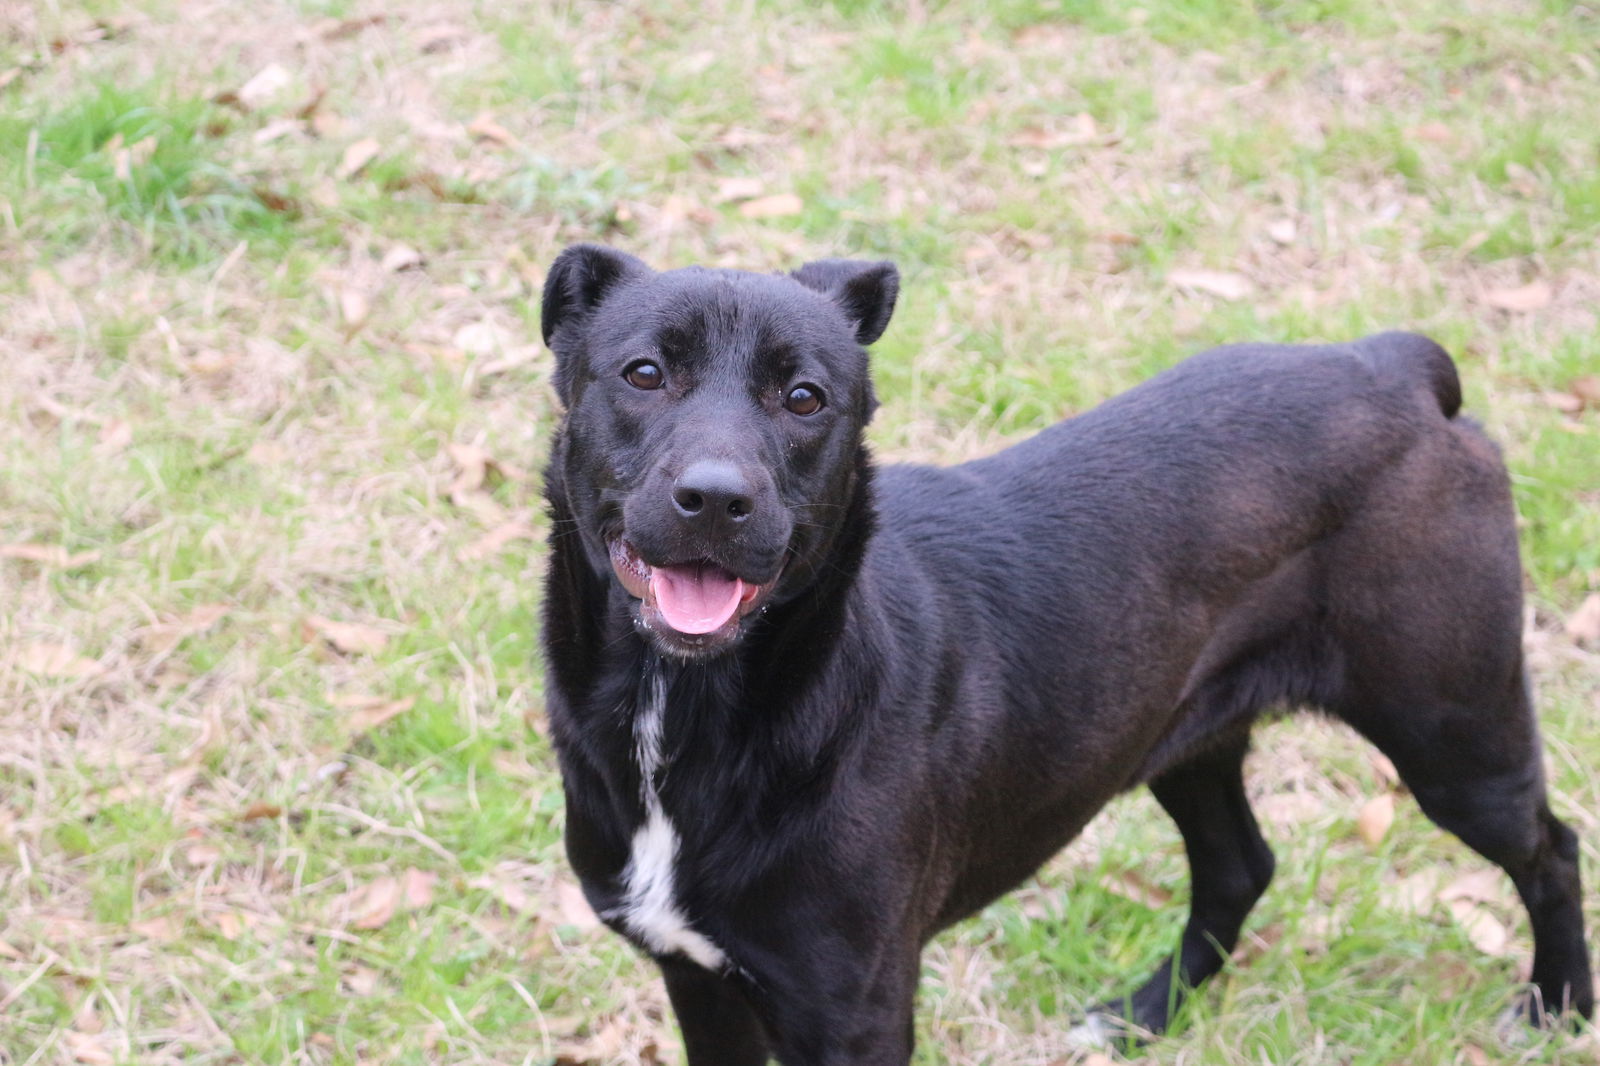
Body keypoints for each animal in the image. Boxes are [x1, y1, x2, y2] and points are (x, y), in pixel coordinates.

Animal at [537, 244, 1587, 1056]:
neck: (691, 713)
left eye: (804, 398)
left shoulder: (855, 1010)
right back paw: (1140, 1018)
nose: (716, 499)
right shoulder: (699, 981)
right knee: (1240, 866)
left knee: (1553, 848)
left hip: (1455, 732)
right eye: (643, 374)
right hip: (1184, 734)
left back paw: (1559, 1010)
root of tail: (1397, 365)